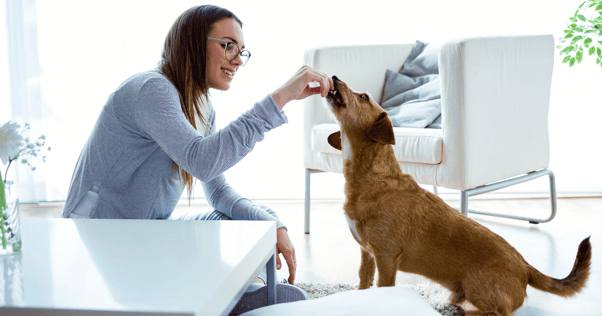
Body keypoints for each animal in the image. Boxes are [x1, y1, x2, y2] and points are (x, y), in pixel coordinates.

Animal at [324, 75, 592, 314]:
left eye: (364, 97)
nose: (334, 77)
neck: (372, 177)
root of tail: (525, 267)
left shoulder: (386, 257)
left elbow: (383, 288)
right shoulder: (367, 253)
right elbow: (363, 281)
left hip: (478, 287)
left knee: (495, 313)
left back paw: (460, 312)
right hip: (460, 289)